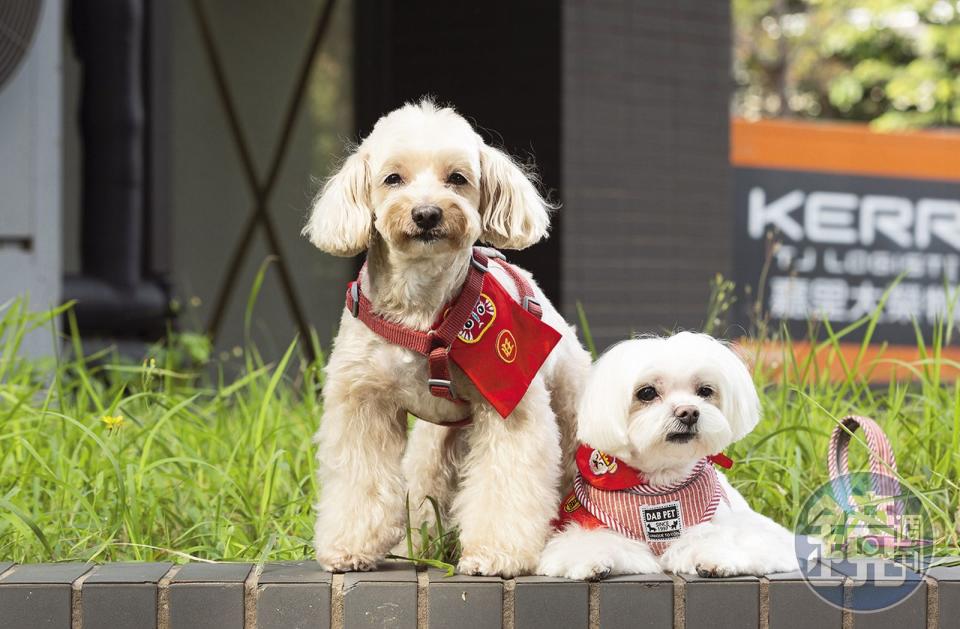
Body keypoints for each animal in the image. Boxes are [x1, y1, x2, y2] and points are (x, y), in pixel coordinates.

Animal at [306, 100, 592, 576]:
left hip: (570, 406)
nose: (426, 214)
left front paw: (496, 554)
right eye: (393, 178)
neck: (422, 312)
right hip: (433, 444)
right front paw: (350, 547)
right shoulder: (362, 402)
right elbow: (360, 478)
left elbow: (506, 480)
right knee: (427, 491)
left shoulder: (510, 404)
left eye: (457, 178)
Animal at [536, 334, 800, 580]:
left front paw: (715, 557)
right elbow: (591, 542)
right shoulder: (590, 522)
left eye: (705, 391)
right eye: (647, 393)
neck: (663, 478)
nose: (689, 412)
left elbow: (718, 537)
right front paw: (591, 561)